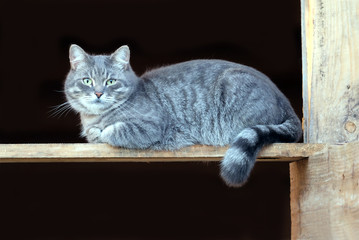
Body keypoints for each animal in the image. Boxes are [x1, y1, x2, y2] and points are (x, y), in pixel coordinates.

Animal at [64, 45, 300, 188]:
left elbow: (114, 131)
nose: (98, 93)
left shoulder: (150, 127)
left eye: (111, 81)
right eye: (87, 81)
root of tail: (285, 101)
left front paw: (100, 131)